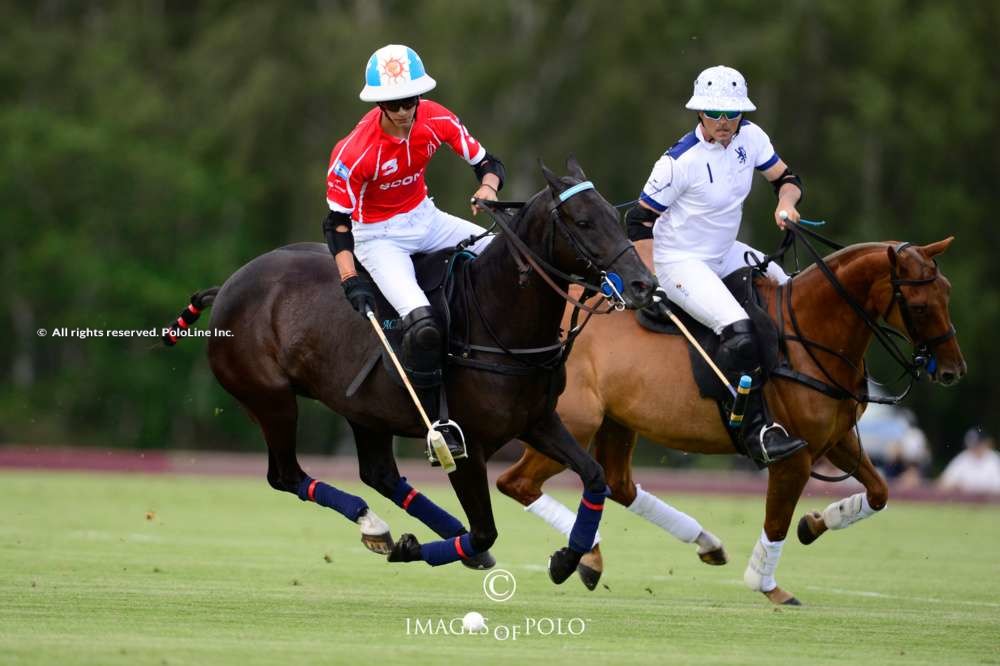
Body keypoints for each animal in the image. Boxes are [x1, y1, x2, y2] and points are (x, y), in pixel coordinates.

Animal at [167, 160, 656, 580]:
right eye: (583, 222)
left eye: (615, 215)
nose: (643, 284)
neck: (499, 318)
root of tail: (227, 285)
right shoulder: (469, 446)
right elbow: (485, 531)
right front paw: (413, 549)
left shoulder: (537, 421)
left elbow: (594, 478)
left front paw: (569, 558)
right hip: (270, 399)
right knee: (286, 475)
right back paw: (376, 525)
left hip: (363, 410)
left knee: (379, 473)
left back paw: (405, 530)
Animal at [496, 235, 964, 600]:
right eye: (919, 306)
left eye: (947, 292)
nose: (952, 371)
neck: (810, 334)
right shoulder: (793, 454)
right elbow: (776, 521)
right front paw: (766, 585)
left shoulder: (838, 438)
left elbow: (880, 492)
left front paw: (816, 522)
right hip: (574, 424)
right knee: (516, 483)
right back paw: (586, 554)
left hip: (617, 422)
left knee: (617, 484)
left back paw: (701, 543)